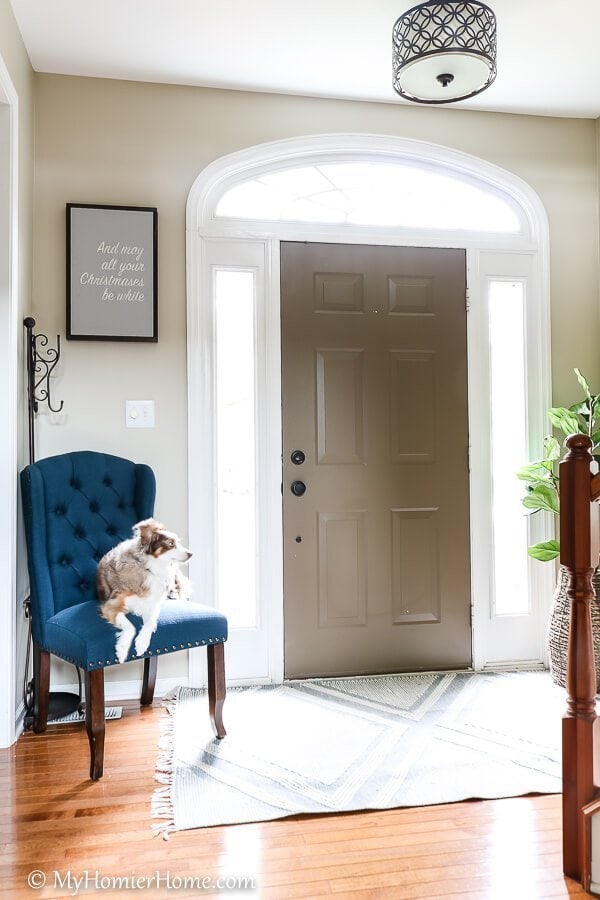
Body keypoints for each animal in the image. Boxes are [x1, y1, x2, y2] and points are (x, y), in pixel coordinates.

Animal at [97, 520, 192, 660]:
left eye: (178, 542)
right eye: (171, 543)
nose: (191, 553)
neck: (151, 569)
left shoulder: (153, 604)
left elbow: (151, 622)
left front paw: (142, 642)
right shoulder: (110, 606)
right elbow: (131, 627)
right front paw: (122, 649)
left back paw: (173, 593)